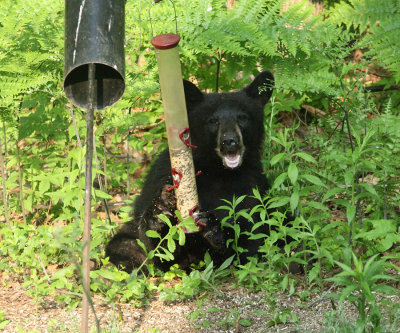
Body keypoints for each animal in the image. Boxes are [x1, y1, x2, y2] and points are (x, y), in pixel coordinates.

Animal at [106, 70, 276, 272]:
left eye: (242, 117)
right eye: (213, 120)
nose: (229, 141)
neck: (218, 171)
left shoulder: (252, 184)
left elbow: (251, 236)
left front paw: (213, 229)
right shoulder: (162, 174)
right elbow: (159, 251)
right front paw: (158, 213)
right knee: (123, 246)